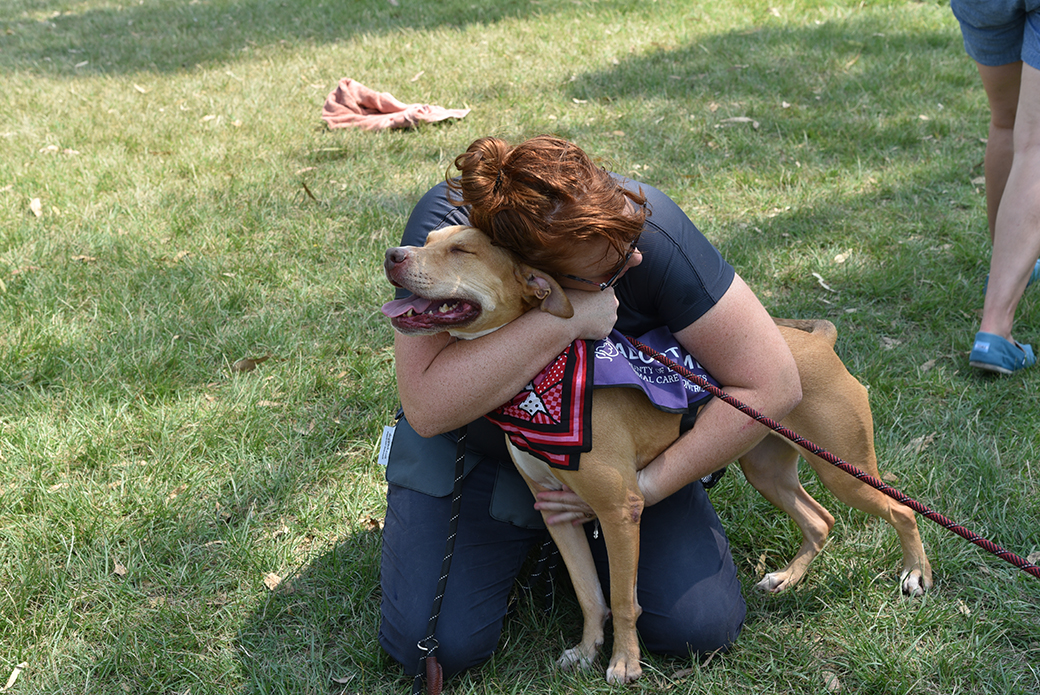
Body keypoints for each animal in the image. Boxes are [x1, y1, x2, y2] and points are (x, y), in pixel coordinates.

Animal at [382, 225, 935, 682]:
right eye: (427, 239)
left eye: (463, 250)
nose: (393, 254)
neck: (542, 374)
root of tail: (817, 340)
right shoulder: (557, 513)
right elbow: (589, 594)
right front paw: (587, 651)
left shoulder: (618, 511)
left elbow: (622, 598)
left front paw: (625, 662)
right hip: (766, 469)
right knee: (820, 520)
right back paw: (786, 579)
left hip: (846, 470)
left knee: (901, 508)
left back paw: (915, 575)